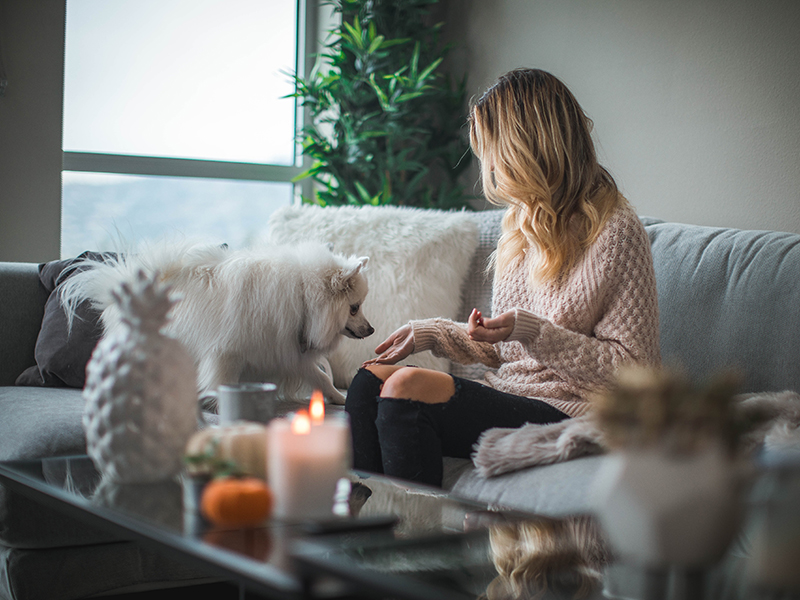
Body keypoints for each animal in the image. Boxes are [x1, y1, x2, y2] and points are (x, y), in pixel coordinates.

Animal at [61, 239, 374, 404]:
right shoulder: (228, 353)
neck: (302, 298)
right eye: (354, 308)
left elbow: (321, 377)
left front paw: (339, 398)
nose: (371, 329)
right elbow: (222, 380)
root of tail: (122, 283)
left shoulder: (285, 351)